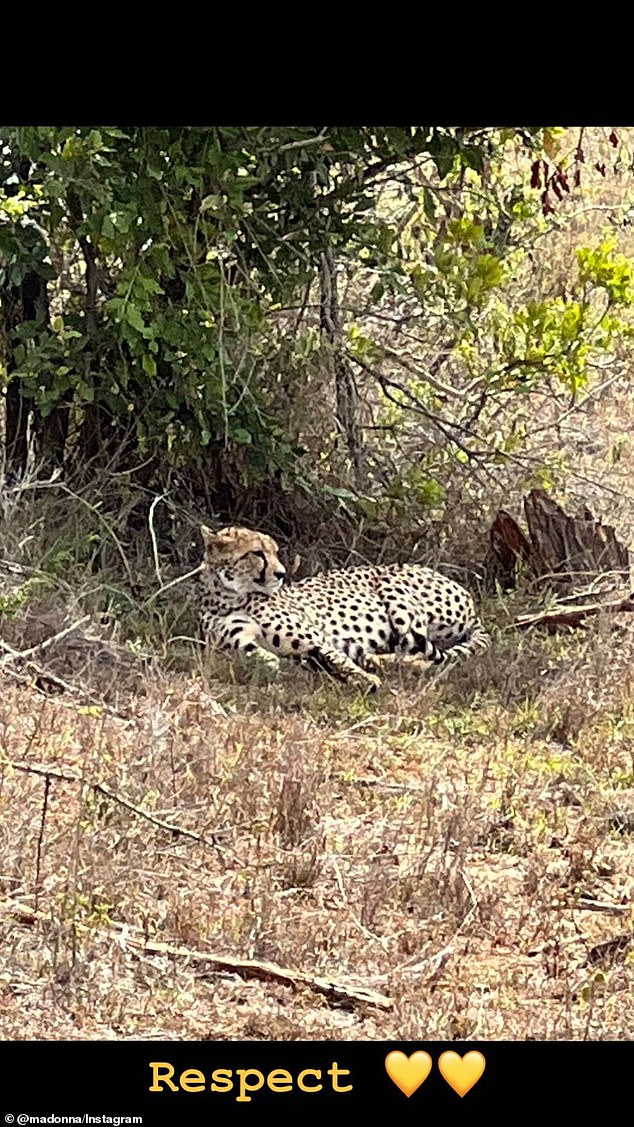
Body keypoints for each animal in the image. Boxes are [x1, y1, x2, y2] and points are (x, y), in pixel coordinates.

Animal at [198, 525, 490, 689]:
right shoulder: (236, 646)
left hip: (394, 588)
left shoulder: (315, 638)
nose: (281, 574)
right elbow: (266, 660)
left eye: (275, 552)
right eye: (257, 553)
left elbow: (336, 657)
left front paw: (364, 680)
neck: (230, 597)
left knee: (423, 651)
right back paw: (379, 661)